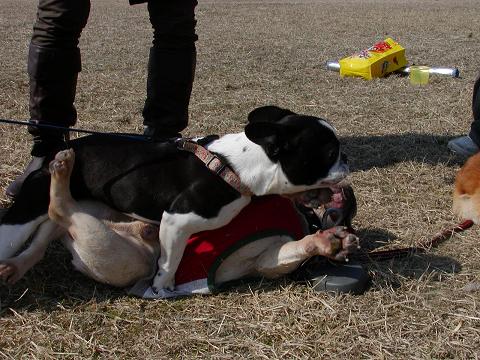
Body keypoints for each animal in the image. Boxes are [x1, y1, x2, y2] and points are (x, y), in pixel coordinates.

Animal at [1, 105, 350, 294]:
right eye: (330, 153)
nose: (346, 158)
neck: (235, 165)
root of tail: (52, 154)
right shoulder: (177, 220)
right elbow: (170, 260)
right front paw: (162, 286)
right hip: (26, 214)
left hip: (78, 210)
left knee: (43, 238)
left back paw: (14, 268)